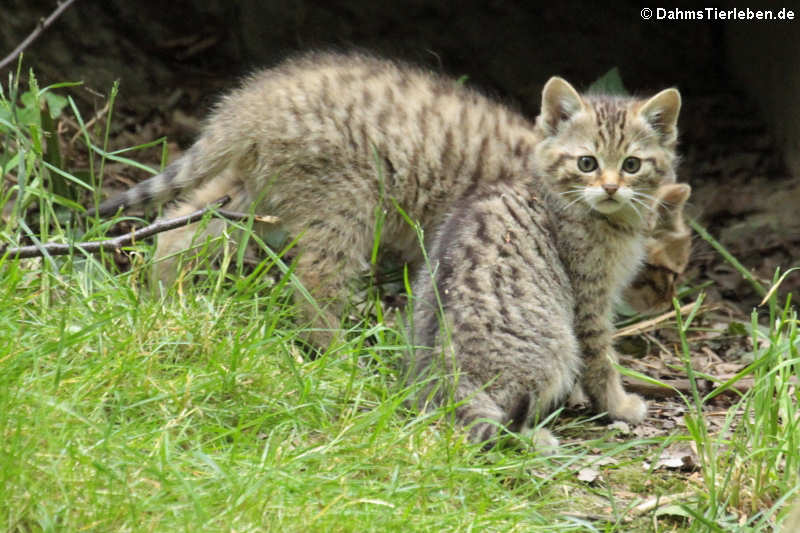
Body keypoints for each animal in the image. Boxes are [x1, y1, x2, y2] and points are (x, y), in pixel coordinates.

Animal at [406, 78, 680, 444]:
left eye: (631, 165)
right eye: (586, 163)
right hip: (557, 348)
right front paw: (617, 405)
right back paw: (535, 438)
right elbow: (601, 359)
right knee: (503, 423)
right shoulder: (590, 300)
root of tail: (445, 376)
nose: (610, 188)